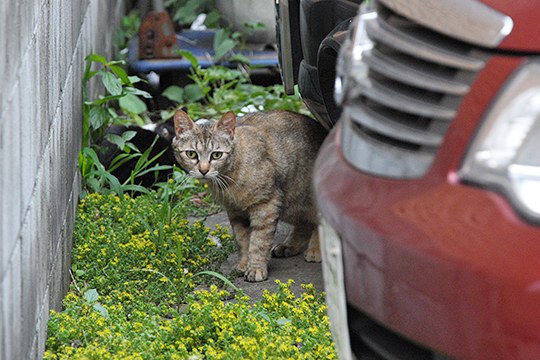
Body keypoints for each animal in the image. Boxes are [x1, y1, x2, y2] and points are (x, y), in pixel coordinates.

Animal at [171, 108, 326, 282]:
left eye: (216, 155)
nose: (203, 170)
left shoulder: (266, 206)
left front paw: (256, 268)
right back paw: (290, 246)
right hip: (290, 204)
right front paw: (244, 264)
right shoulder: (235, 212)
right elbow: (243, 240)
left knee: (318, 222)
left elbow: (258, 242)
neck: (230, 179)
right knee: (304, 223)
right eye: (191, 154)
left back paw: (316, 250)